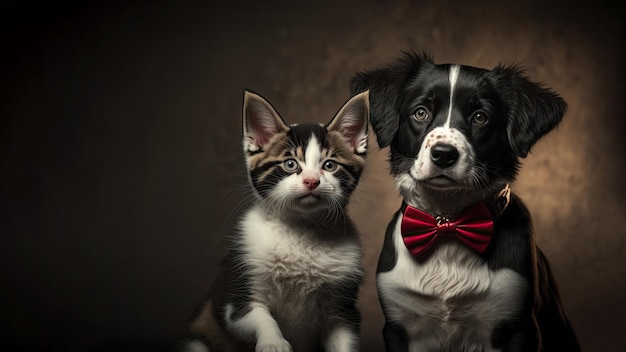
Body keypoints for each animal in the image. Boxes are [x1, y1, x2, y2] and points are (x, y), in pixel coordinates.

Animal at [176, 88, 368, 352]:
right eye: (290, 164)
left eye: (330, 165)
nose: (311, 181)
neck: (301, 229)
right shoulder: (237, 292)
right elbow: (258, 316)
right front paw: (273, 342)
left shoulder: (343, 307)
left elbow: (343, 339)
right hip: (200, 336)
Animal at [352, 53, 580, 352]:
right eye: (420, 112)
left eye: (480, 117)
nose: (443, 155)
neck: (447, 222)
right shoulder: (398, 326)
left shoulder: (520, 326)